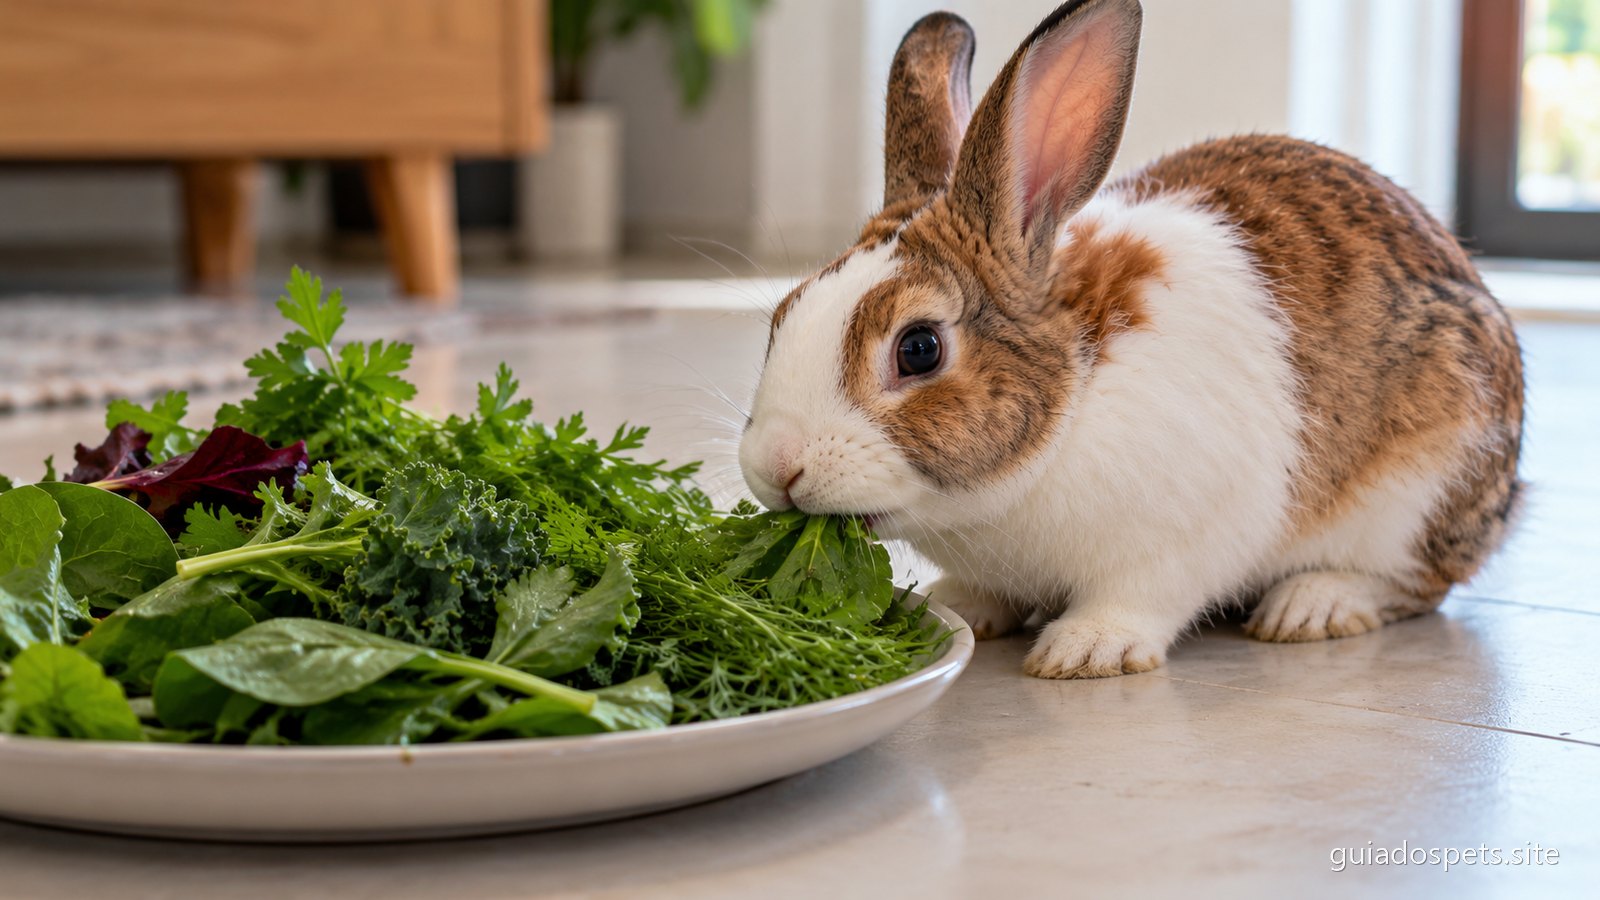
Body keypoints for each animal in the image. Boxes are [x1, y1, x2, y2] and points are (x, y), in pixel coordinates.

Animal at [738, 0, 1524, 679]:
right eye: (783, 314)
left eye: (919, 348)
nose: (776, 465)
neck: (1075, 396)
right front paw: (959, 606)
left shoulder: (1184, 538)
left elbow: (1143, 598)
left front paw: (1086, 651)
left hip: (1423, 486)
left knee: (1416, 583)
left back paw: (1314, 605)